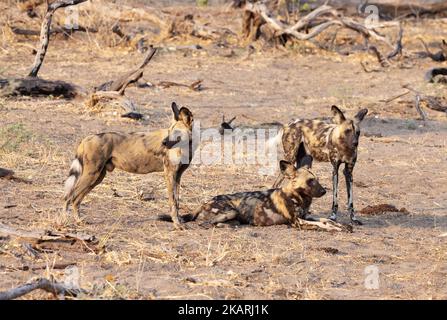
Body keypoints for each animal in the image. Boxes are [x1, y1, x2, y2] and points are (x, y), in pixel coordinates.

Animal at [63, 101, 194, 229]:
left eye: (176, 132)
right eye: (169, 131)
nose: (164, 142)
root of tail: (87, 138)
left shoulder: (177, 176)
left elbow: (177, 201)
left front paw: (179, 221)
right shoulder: (170, 174)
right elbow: (173, 202)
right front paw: (177, 224)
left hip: (97, 177)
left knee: (76, 199)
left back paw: (79, 221)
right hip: (91, 175)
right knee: (68, 197)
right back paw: (63, 222)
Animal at [164, 160, 350, 232]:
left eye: (317, 180)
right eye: (311, 181)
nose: (324, 191)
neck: (299, 197)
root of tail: (204, 202)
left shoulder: (306, 216)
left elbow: (326, 220)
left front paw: (341, 225)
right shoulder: (298, 222)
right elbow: (322, 224)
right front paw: (334, 228)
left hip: (233, 214)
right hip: (229, 211)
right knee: (206, 223)